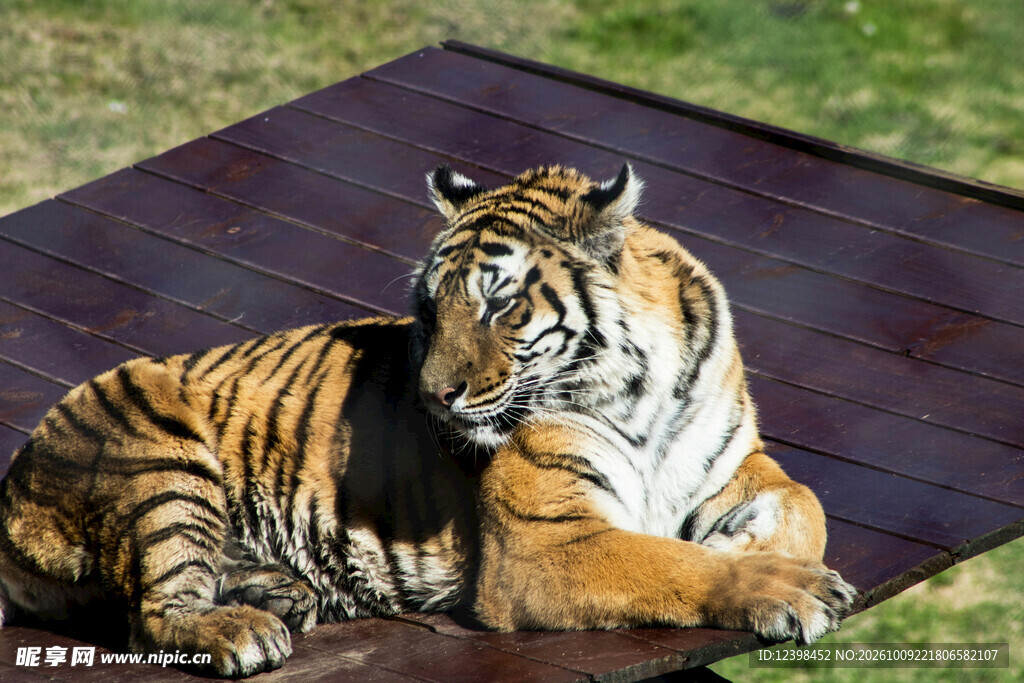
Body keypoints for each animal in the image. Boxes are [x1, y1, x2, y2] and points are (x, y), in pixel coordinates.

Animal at [0, 164, 856, 677]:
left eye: (501, 305)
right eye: (429, 307)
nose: (435, 396)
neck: (642, 386)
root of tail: (12, 487)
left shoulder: (734, 459)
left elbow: (805, 502)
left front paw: (755, 543)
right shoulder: (543, 543)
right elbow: (669, 563)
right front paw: (778, 582)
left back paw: (277, 592)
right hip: (158, 455)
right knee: (151, 616)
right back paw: (239, 630)